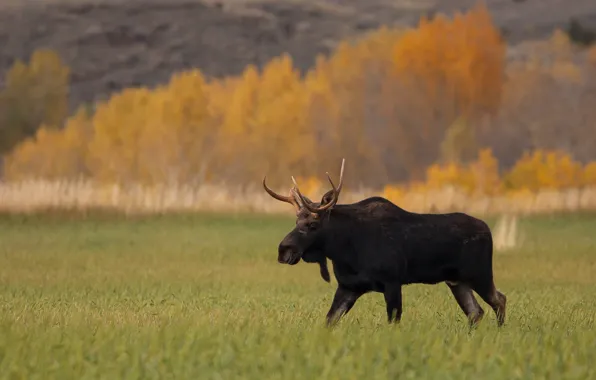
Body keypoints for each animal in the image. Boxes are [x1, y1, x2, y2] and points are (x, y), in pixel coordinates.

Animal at [264, 159, 506, 328]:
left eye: (313, 224)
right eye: (296, 221)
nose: (283, 250)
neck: (344, 250)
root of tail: (488, 229)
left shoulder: (392, 282)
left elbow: (393, 323)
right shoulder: (349, 286)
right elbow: (329, 321)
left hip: (480, 274)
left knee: (499, 299)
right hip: (456, 281)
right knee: (476, 312)